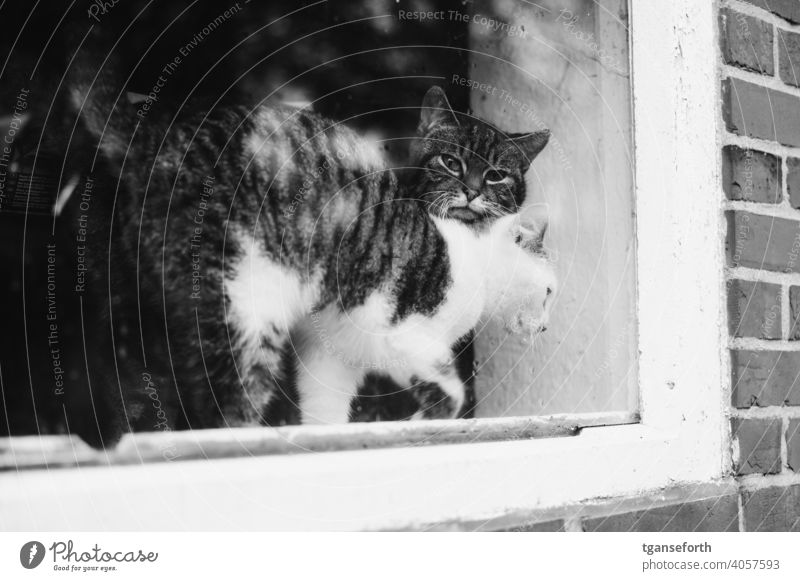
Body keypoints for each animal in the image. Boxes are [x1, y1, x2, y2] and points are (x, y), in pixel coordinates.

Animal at [65, 75, 556, 442]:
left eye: (496, 176)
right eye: (550, 292)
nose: (546, 327)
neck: (470, 249)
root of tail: (157, 138)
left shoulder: (333, 351)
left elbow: (324, 406)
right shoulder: (400, 334)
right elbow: (450, 392)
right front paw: (418, 423)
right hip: (246, 300)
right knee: (230, 400)